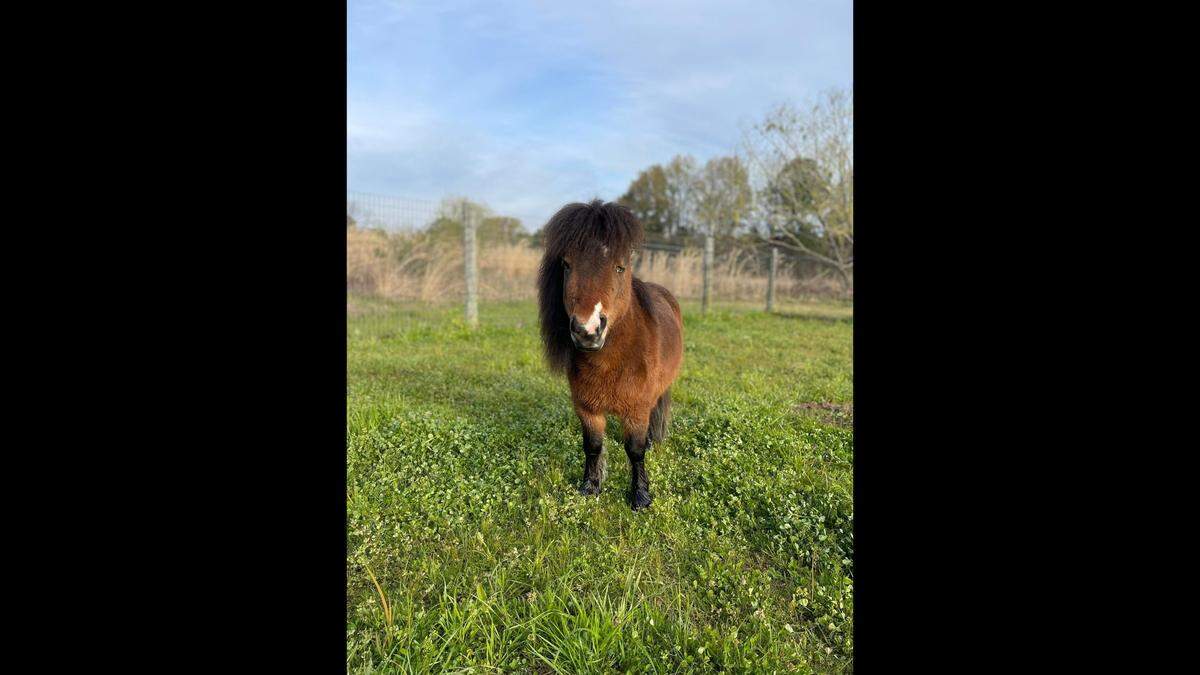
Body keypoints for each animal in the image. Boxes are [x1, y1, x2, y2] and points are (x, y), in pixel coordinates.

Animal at [536, 200, 684, 511]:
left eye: (619, 267)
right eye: (566, 265)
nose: (587, 330)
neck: (610, 363)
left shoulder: (637, 409)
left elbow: (635, 450)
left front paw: (640, 496)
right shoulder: (587, 408)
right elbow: (592, 446)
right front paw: (590, 487)